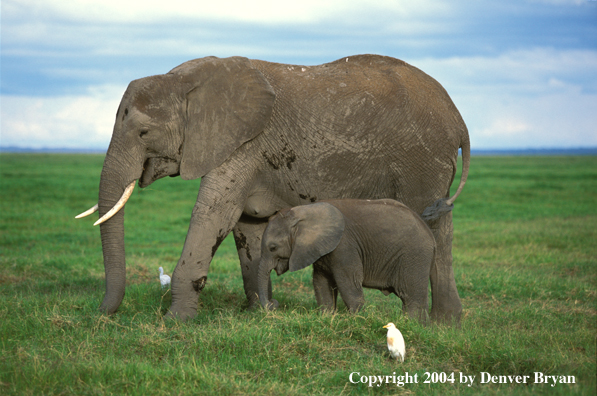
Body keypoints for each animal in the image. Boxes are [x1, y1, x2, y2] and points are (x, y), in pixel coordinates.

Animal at [256, 198, 434, 322]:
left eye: (273, 247)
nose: (273, 303)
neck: (303, 212)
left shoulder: (344, 247)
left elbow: (348, 283)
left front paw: (357, 320)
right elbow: (321, 283)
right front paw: (326, 318)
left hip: (415, 256)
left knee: (411, 298)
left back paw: (410, 324)